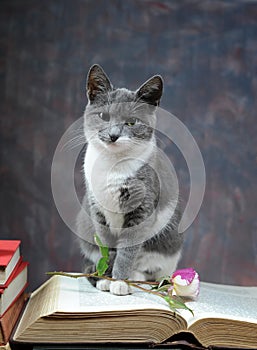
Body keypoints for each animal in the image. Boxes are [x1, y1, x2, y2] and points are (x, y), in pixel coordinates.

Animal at [76, 63, 182, 296]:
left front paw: (119, 281)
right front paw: (105, 277)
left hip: (168, 242)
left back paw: (137, 278)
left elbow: (127, 250)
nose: (113, 135)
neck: (113, 166)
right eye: (104, 116)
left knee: (151, 268)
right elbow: (107, 249)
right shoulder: (97, 211)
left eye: (132, 122)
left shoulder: (142, 208)